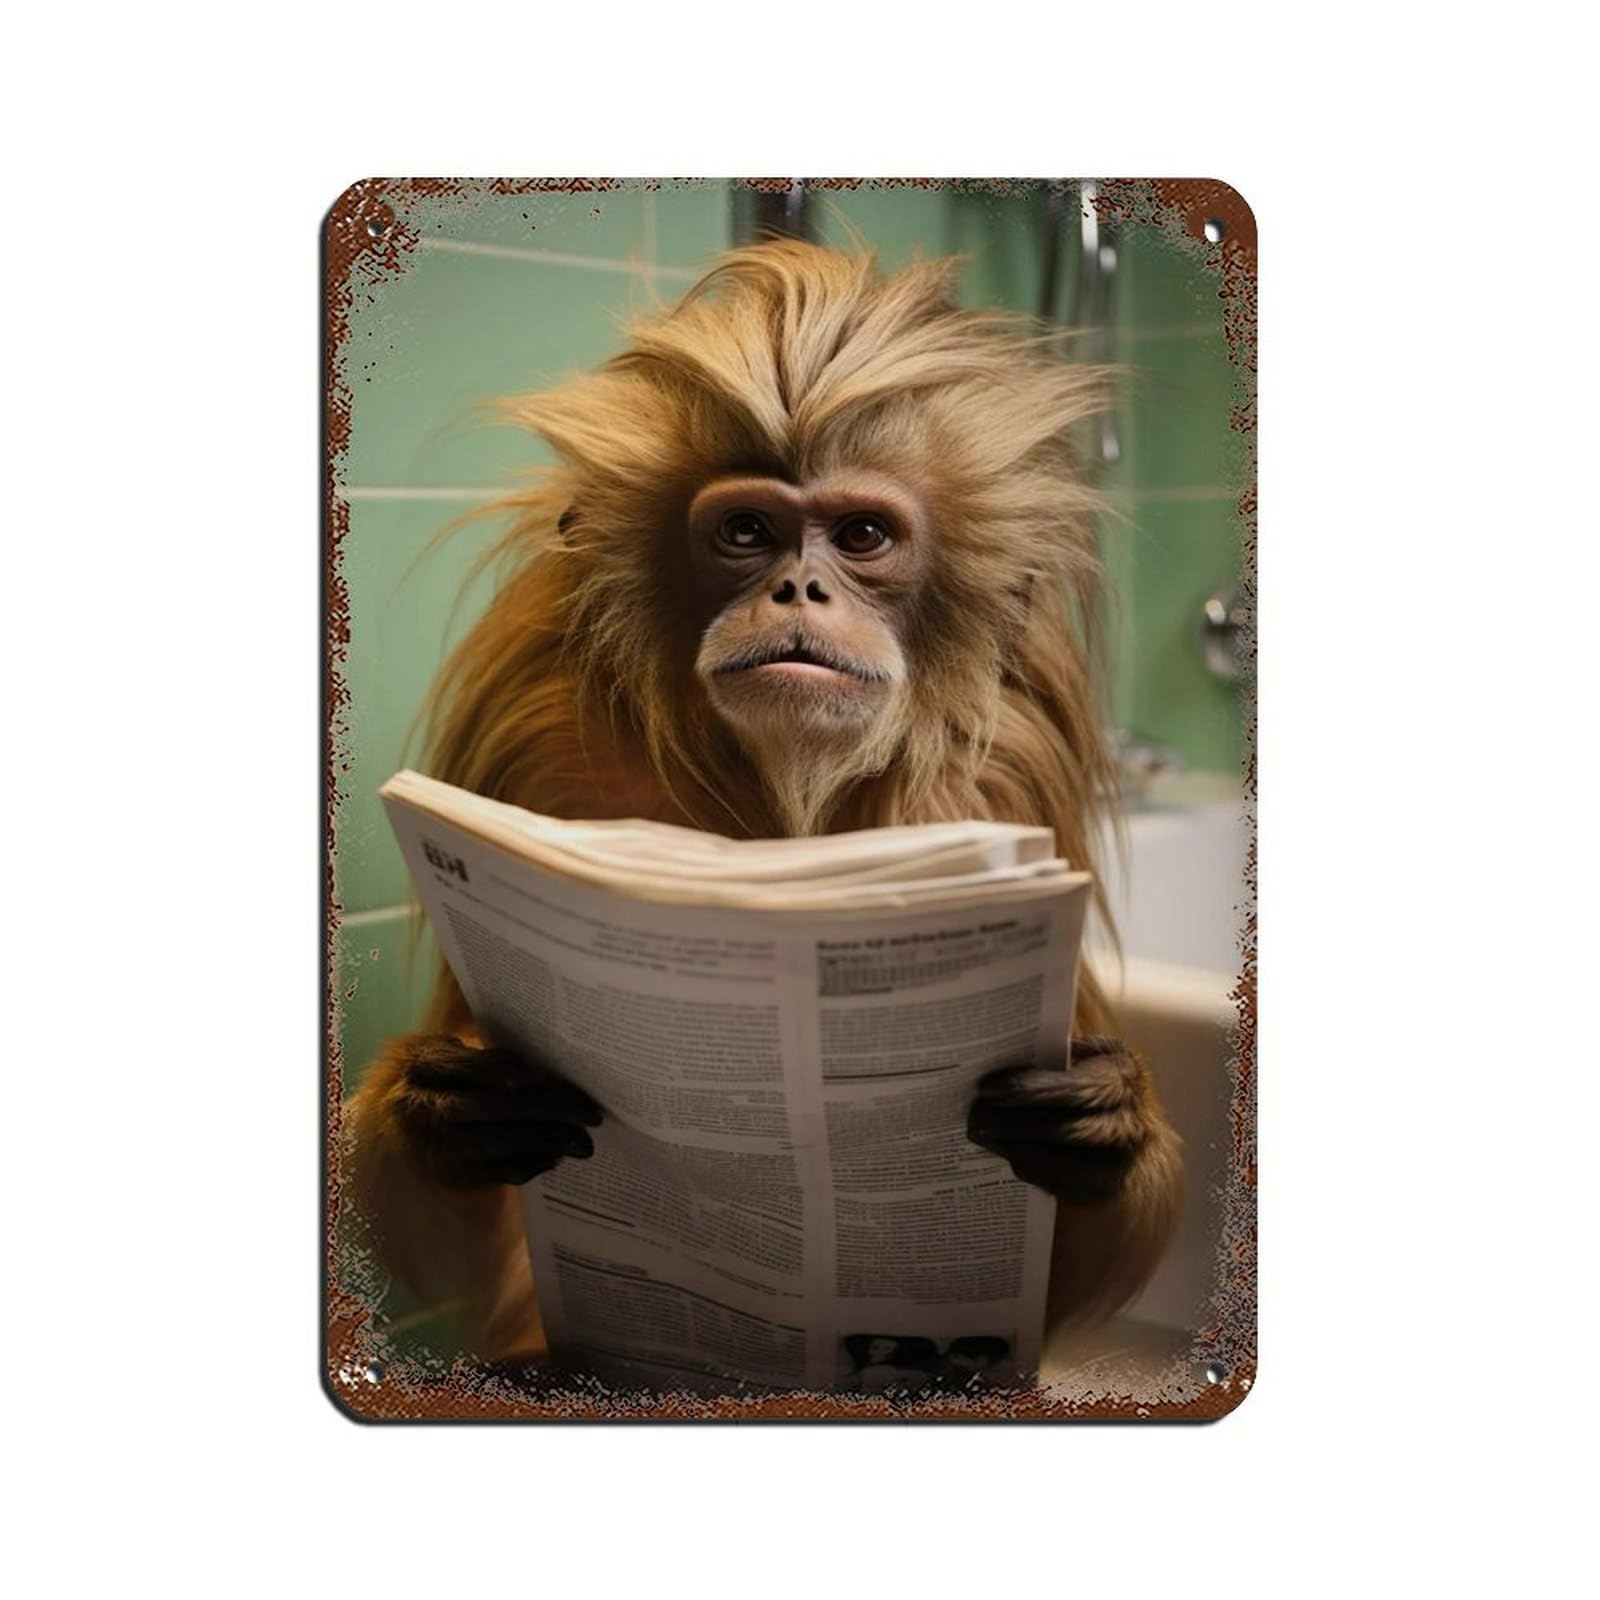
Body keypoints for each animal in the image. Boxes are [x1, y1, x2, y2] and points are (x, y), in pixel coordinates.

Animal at [345, 239, 1182, 1371]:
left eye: (862, 535)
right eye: (747, 531)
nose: (798, 591)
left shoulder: (1009, 779)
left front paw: (1103, 1127)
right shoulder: (535, 729)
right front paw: (447, 1112)